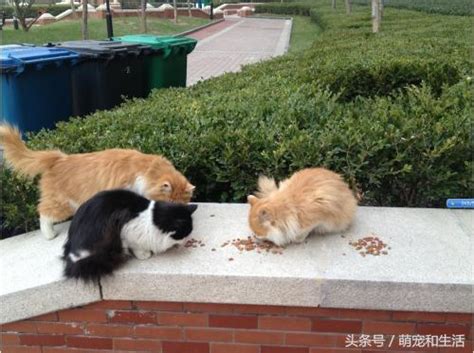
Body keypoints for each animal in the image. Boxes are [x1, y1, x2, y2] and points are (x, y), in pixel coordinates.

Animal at [62, 188, 196, 282]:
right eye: (185, 233)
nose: (186, 240)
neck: (152, 221)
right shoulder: (127, 231)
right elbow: (136, 247)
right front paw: (144, 255)